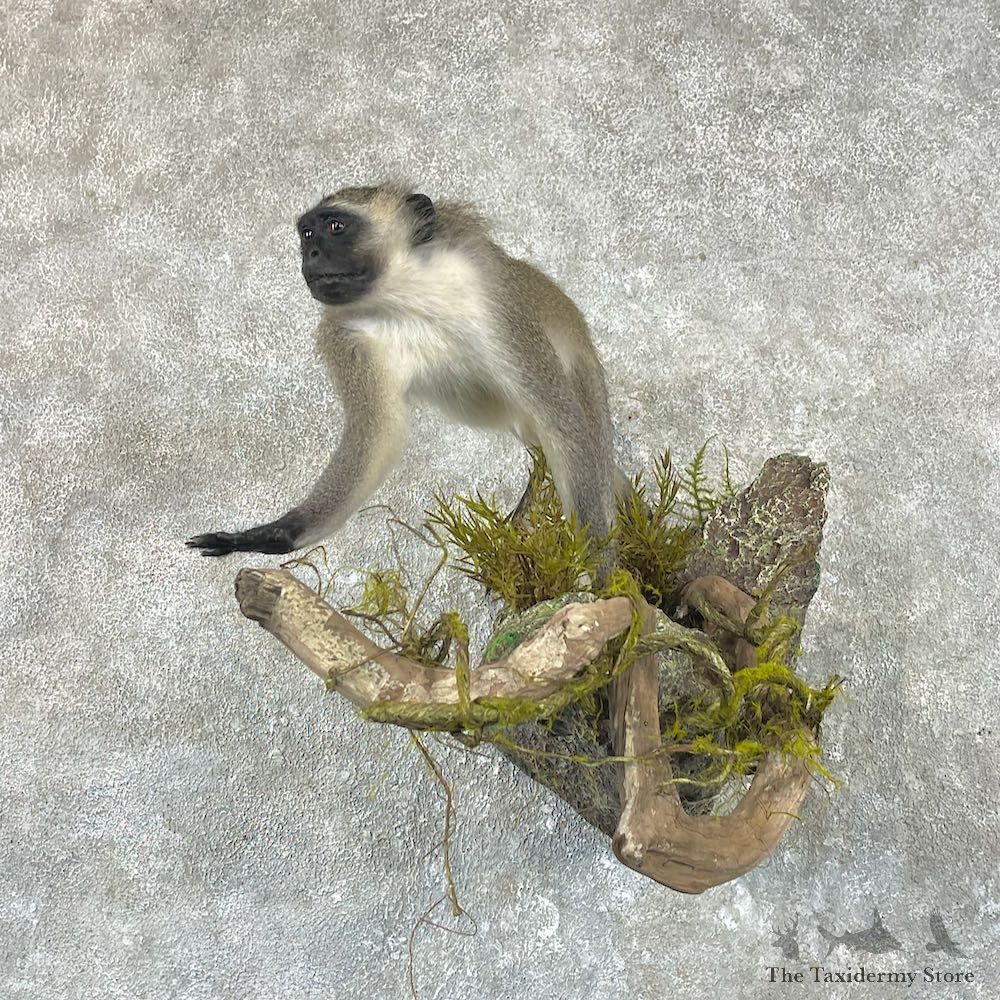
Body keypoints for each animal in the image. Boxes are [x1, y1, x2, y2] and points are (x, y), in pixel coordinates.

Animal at [187, 182, 622, 572]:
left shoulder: (494, 297)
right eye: (307, 233)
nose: (310, 254)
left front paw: (601, 570)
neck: (408, 297)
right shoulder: (349, 337)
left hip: (583, 375)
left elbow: (559, 418)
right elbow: (380, 434)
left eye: (336, 226)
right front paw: (277, 533)